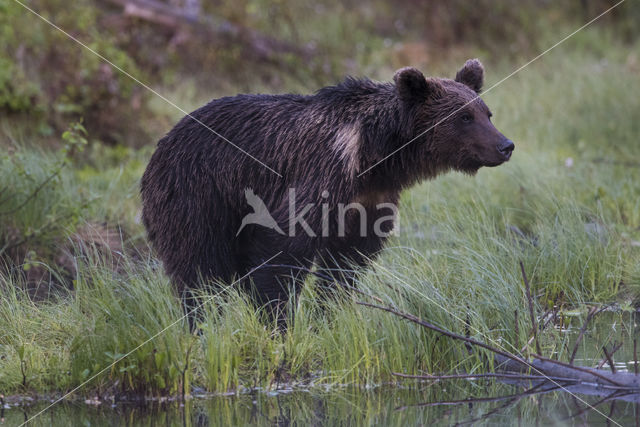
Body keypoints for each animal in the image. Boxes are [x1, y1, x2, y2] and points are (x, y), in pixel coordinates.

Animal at [141, 57, 516, 324]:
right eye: (464, 117)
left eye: (487, 112)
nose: (505, 145)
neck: (374, 157)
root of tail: (159, 148)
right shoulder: (317, 175)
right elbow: (284, 252)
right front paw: (278, 321)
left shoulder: (369, 201)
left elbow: (345, 262)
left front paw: (328, 315)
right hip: (198, 194)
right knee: (199, 268)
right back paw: (204, 322)